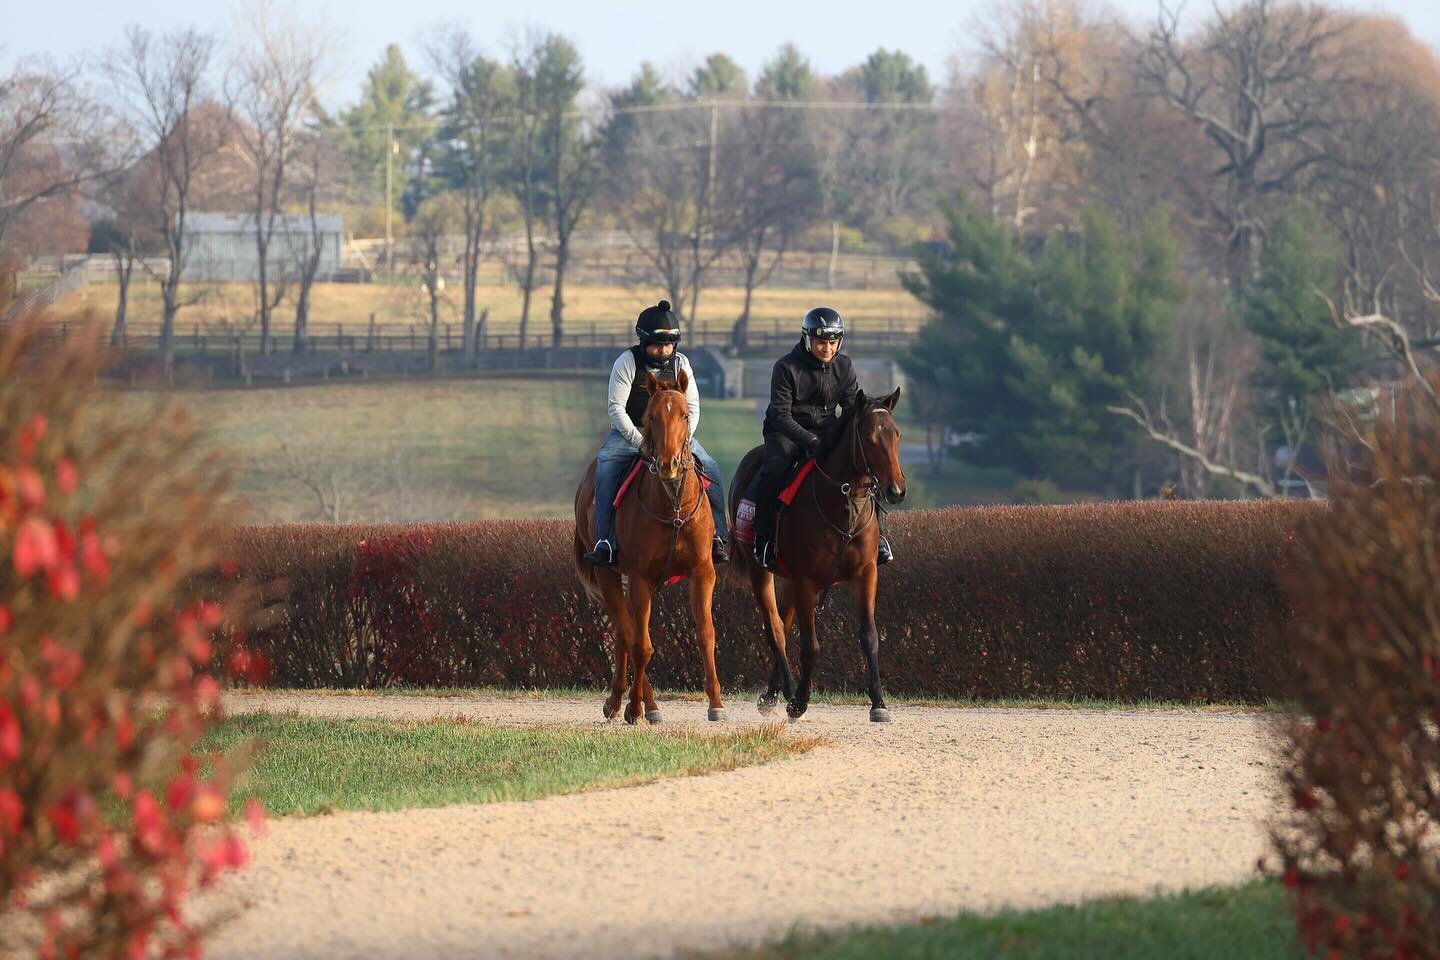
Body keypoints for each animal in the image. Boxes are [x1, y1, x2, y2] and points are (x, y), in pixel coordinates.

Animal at [573, 371, 725, 725]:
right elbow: (642, 644)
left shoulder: (703, 572)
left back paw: (624, 701)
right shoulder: (640, 577)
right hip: (609, 573)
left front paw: (716, 703)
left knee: (622, 633)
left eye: (685, 414)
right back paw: (640, 704)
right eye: (651, 417)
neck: (673, 508)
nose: (669, 464)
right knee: (629, 633)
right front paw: (635, 707)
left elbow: (705, 633)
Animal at [725, 385, 904, 725]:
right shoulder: (806, 580)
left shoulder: (865, 573)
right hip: (761, 572)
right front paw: (799, 703)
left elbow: (869, 636)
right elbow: (810, 646)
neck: (843, 503)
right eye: (871, 437)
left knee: (783, 623)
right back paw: (787, 693)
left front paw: (878, 703)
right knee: (776, 630)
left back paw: (772, 694)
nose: (897, 491)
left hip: (789, 581)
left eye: (896, 434)